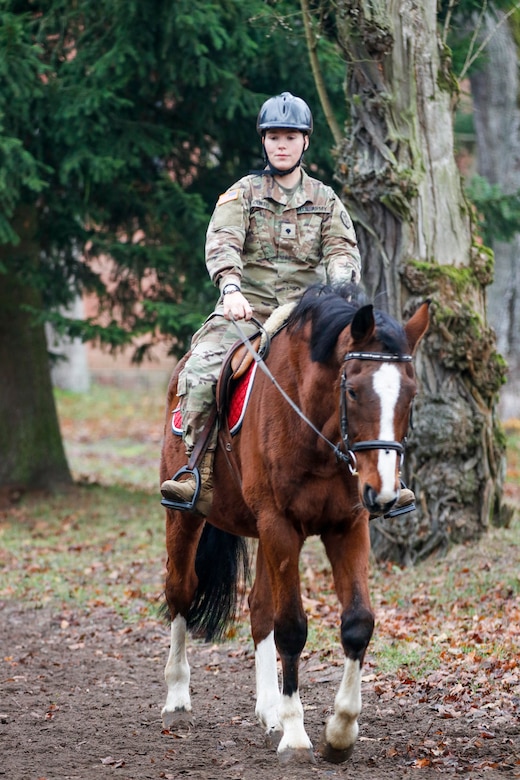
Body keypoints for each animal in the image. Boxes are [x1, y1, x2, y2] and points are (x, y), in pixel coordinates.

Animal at [160, 284, 428, 760]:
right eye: (353, 390)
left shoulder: (347, 527)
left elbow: (357, 623)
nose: (382, 493)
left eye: (410, 395)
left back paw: (269, 712)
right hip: (188, 518)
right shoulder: (280, 526)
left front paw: (339, 732)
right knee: (181, 591)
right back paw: (177, 700)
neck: (317, 431)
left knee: (258, 609)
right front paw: (297, 735)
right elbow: (292, 628)